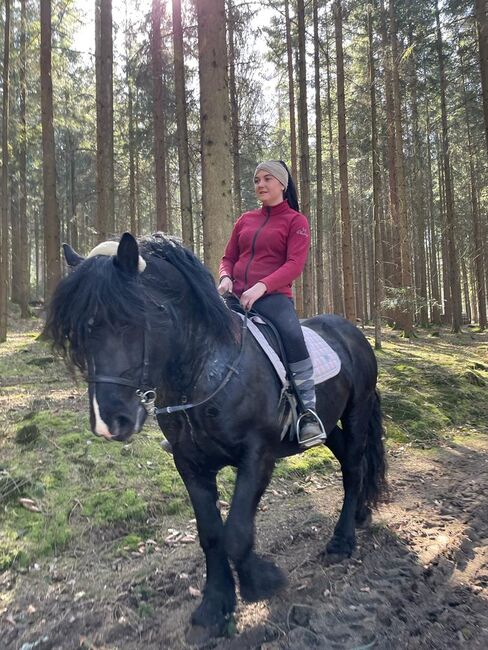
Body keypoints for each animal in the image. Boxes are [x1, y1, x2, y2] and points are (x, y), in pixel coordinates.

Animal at [46, 232, 388, 632]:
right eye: (79, 332)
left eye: (129, 321)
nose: (108, 422)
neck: (207, 368)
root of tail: (351, 332)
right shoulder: (189, 464)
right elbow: (210, 534)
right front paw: (214, 605)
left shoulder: (258, 455)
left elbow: (236, 532)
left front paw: (261, 580)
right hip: (329, 424)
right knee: (352, 463)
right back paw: (360, 514)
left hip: (357, 412)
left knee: (354, 468)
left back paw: (342, 541)